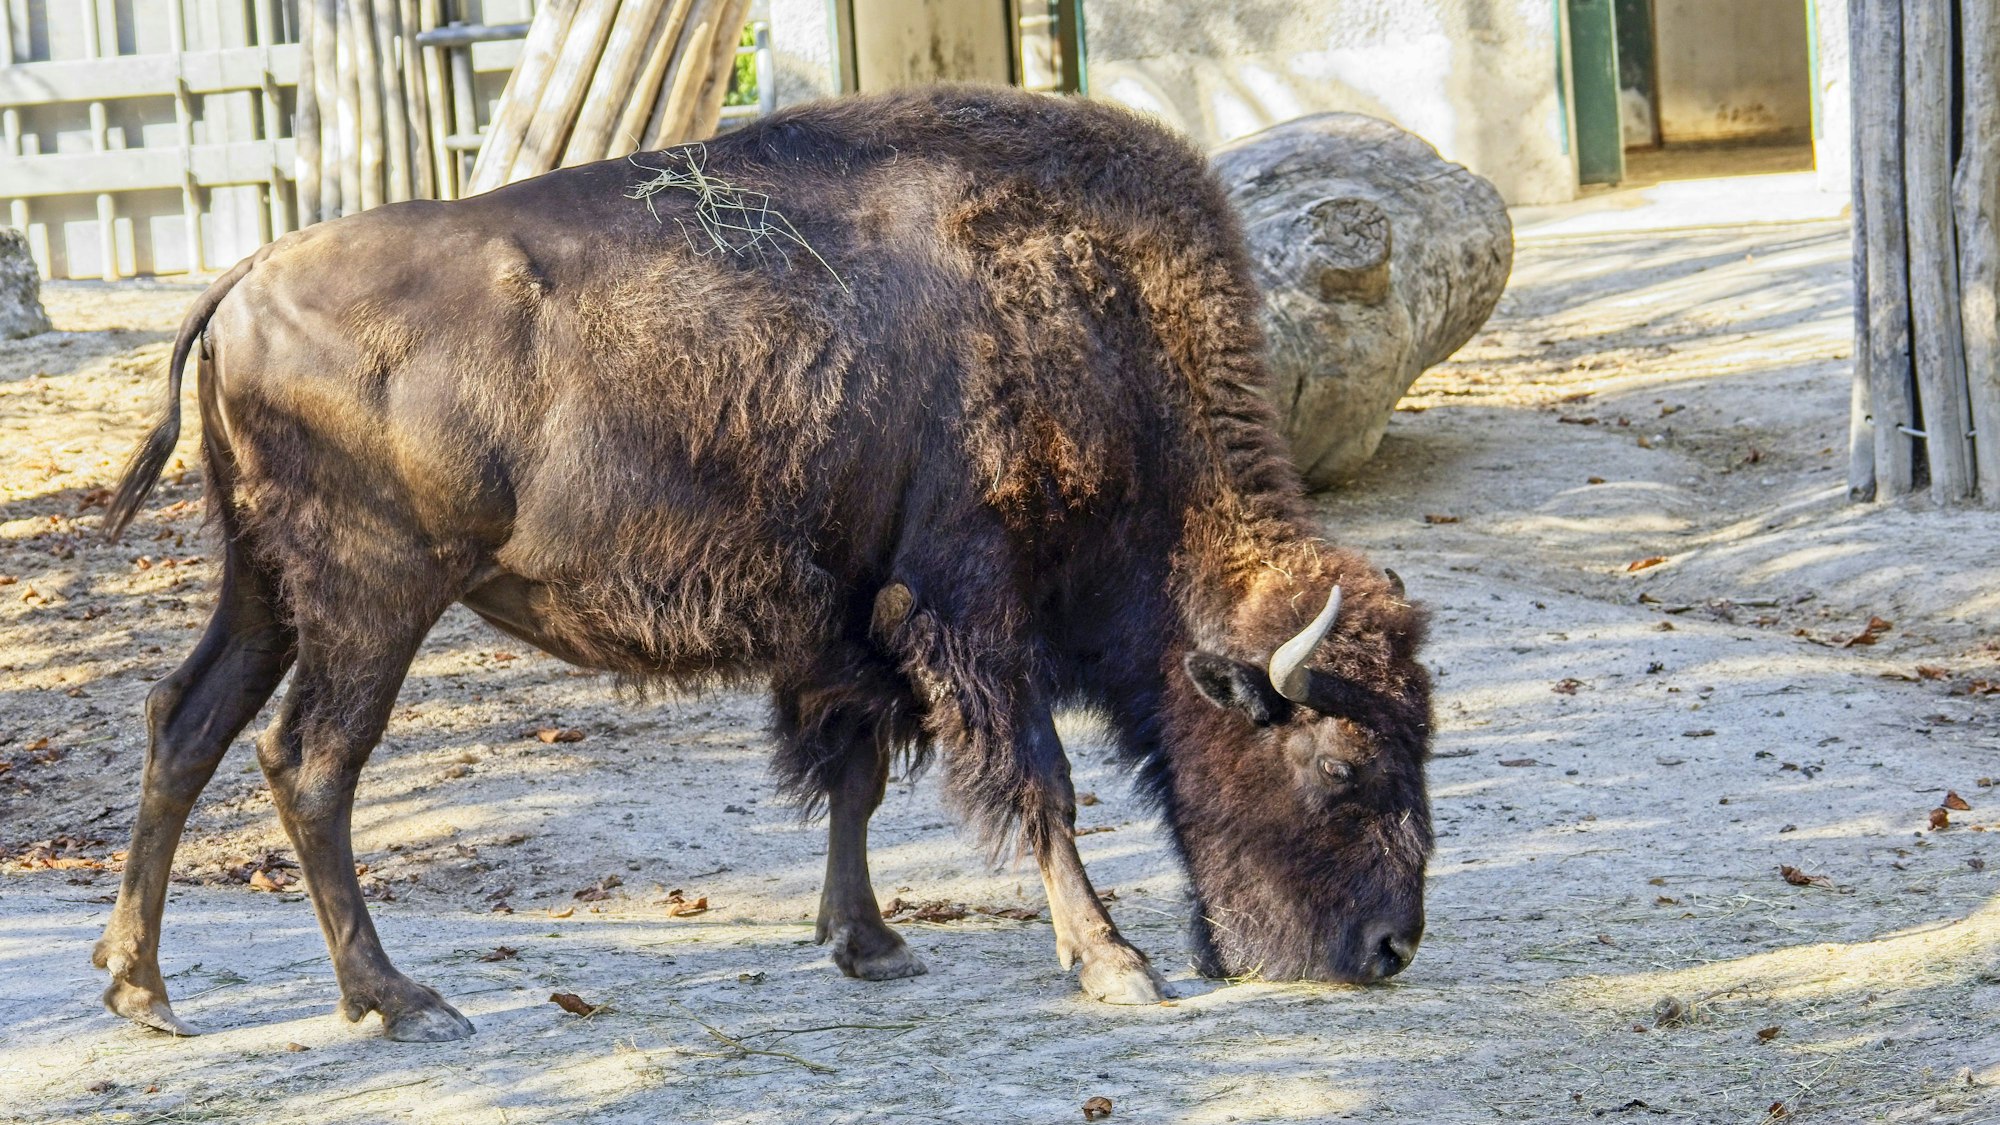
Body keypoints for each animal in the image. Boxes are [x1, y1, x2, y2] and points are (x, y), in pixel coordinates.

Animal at [93, 86, 1433, 1041]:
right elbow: (1037, 780)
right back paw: (399, 1002)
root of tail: (245, 278)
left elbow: (855, 779)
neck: (1090, 318)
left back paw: (144, 992)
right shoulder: (968, 608)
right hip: (374, 599)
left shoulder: (854, 629)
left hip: (263, 588)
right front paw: (1114, 966)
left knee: (185, 722)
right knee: (310, 762)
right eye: (1341, 769)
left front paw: (870, 944)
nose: (1389, 952)